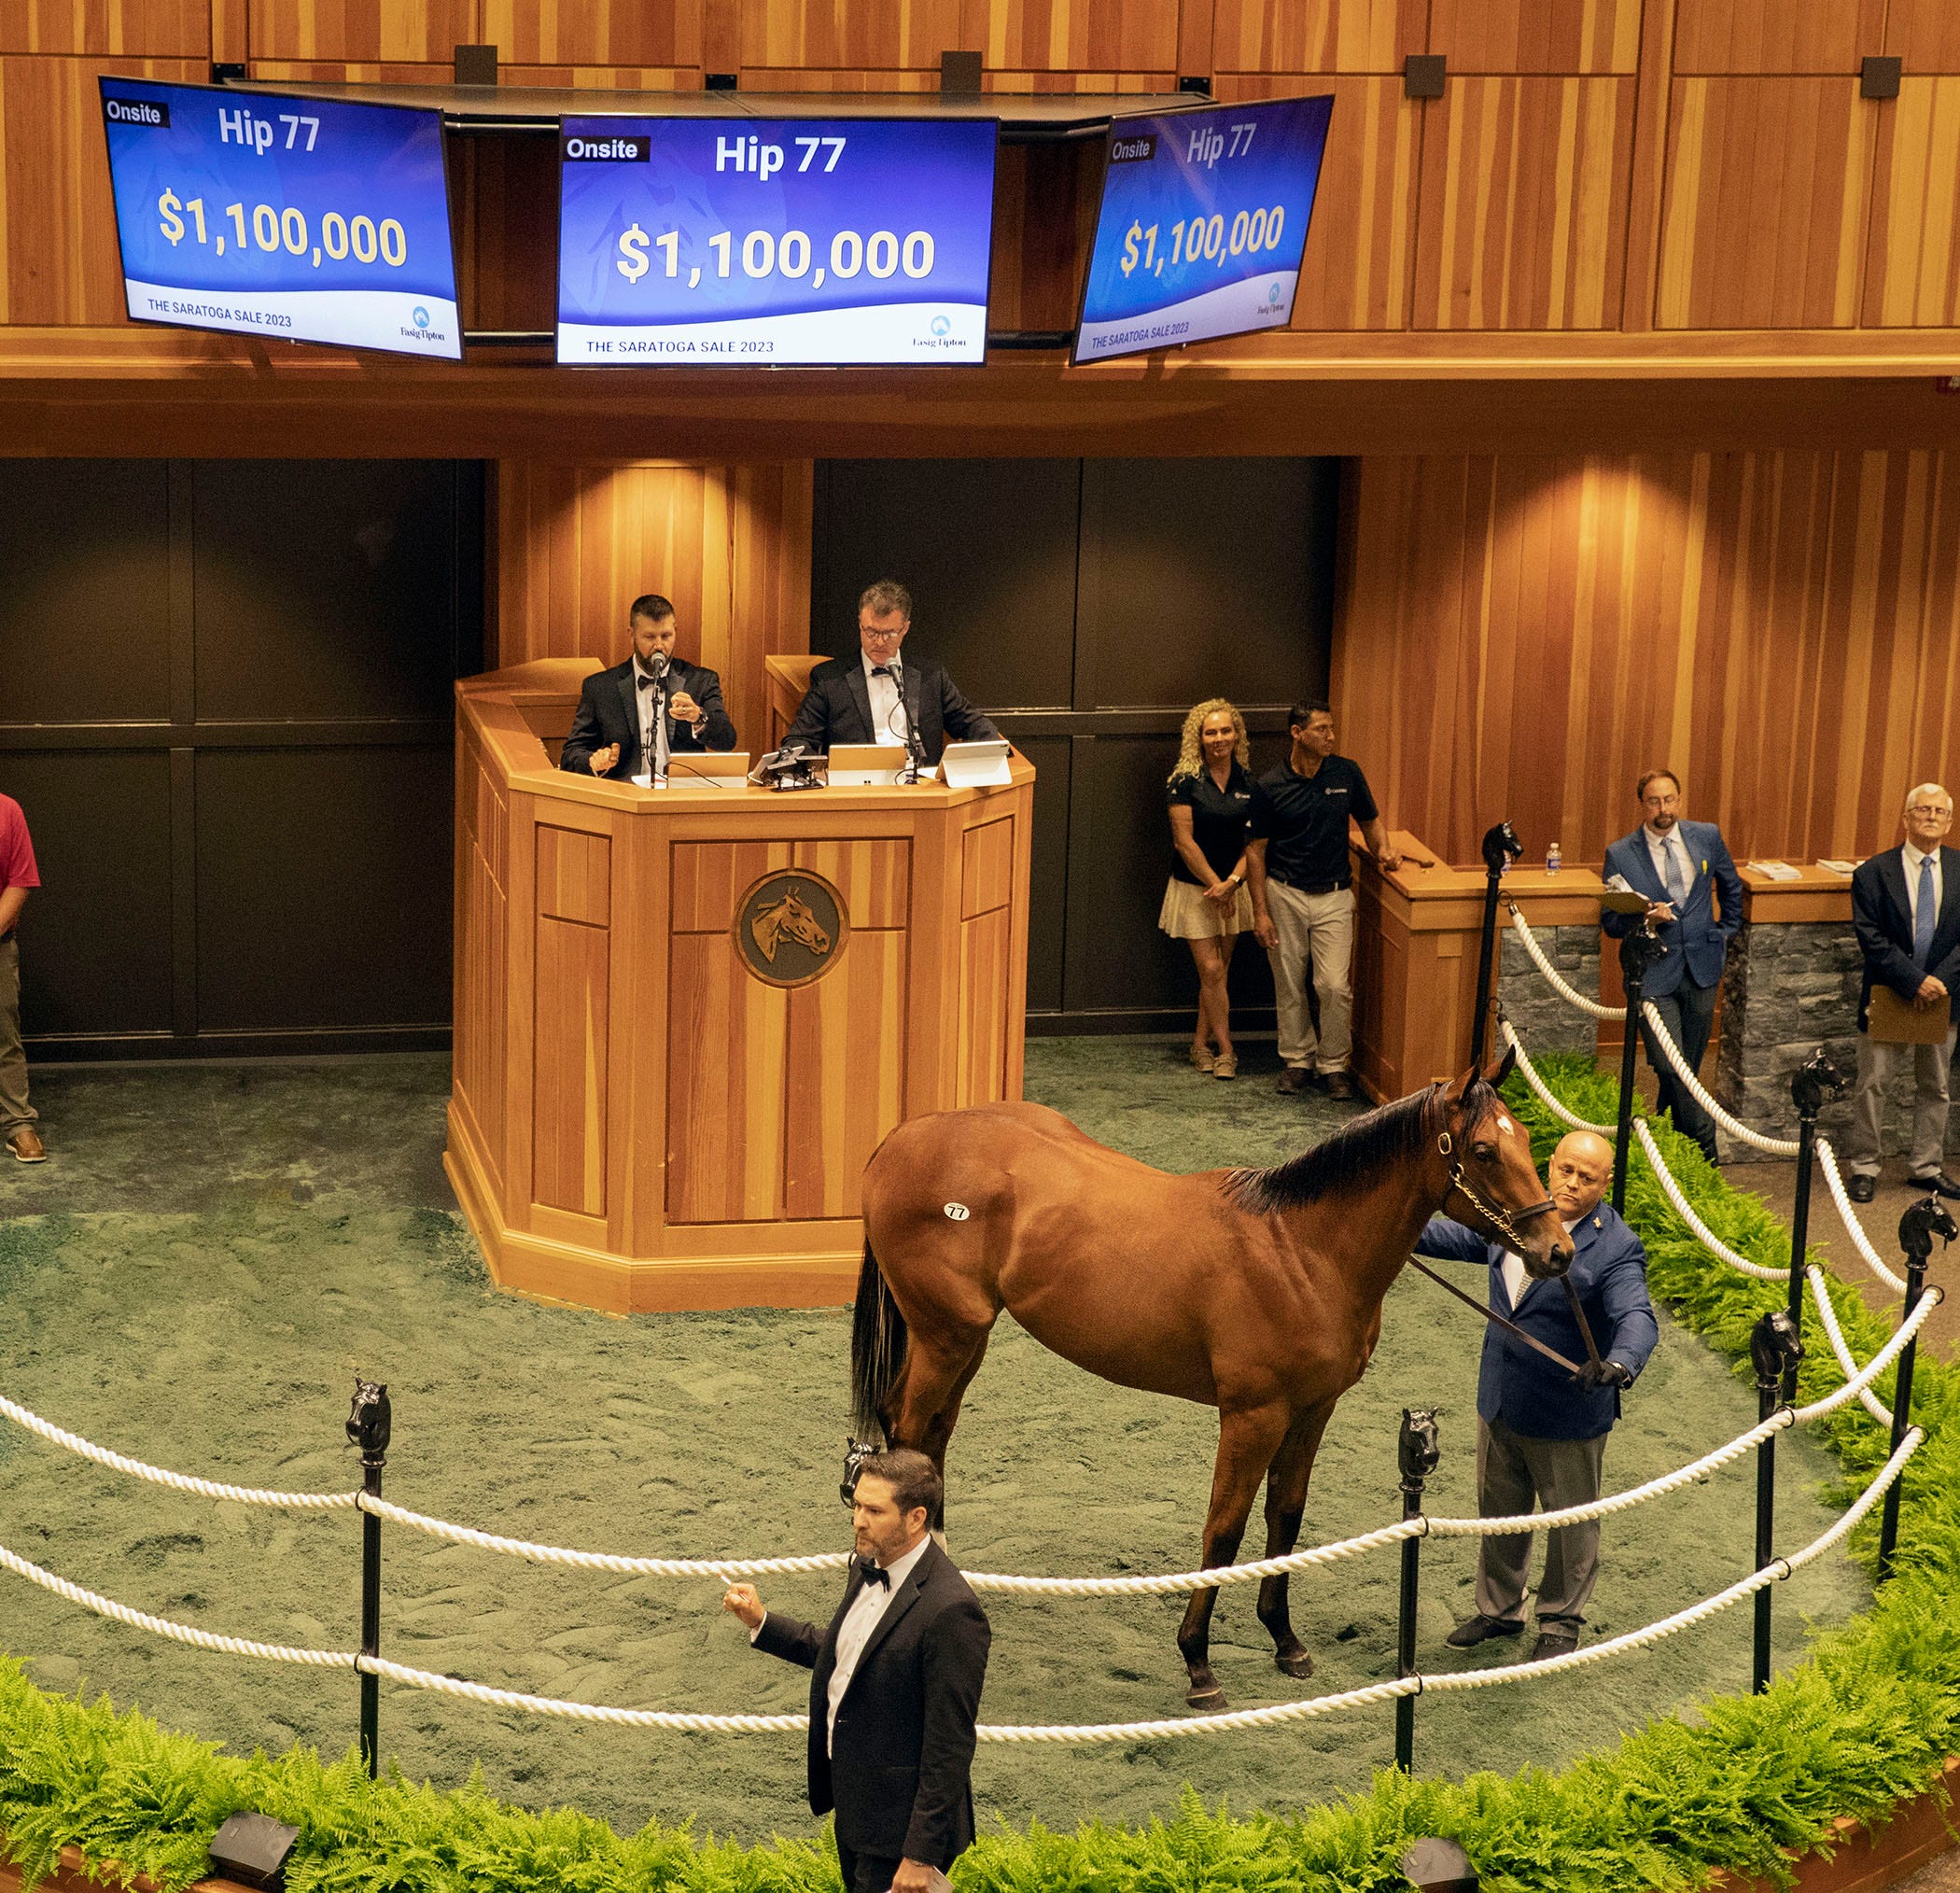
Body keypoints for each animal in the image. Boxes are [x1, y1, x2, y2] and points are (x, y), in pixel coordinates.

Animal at [850, 1058, 1567, 1708]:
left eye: (1526, 1142)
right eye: (1484, 1150)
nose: (1556, 1250)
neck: (1303, 1251)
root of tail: (900, 1141)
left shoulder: (1314, 1409)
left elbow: (1285, 1515)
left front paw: (1285, 1641)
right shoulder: (1254, 1414)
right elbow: (1224, 1529)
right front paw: (1197, 1663)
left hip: (963, 1340)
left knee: (929, 1432)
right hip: (947, 1336)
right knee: (910, 1431)